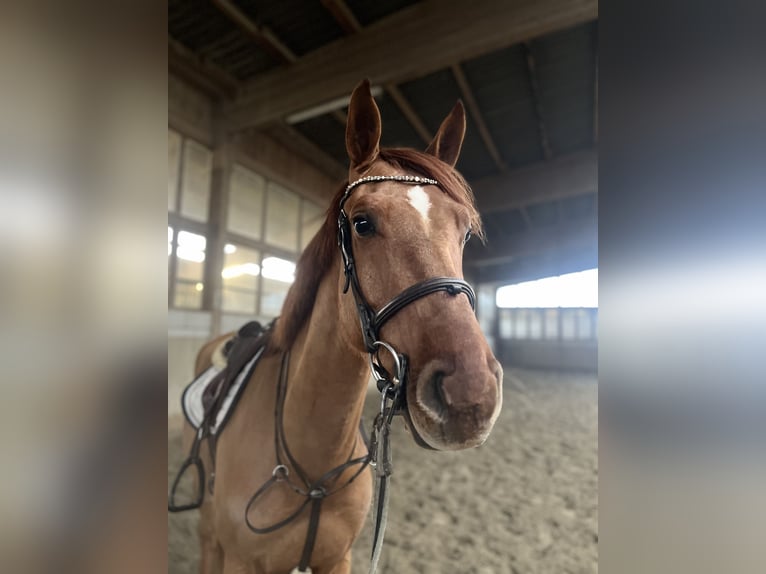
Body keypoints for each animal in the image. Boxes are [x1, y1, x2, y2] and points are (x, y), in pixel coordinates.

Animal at [179, 79, 503, 574]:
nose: (470, 395)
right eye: (361, 223)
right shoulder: (242, 561)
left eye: (465, 231)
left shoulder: (339, 559)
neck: (313, 466)